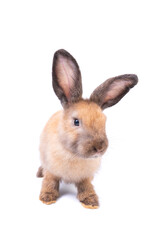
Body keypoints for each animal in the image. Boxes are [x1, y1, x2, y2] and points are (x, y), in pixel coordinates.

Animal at [37, 48, 138, 208]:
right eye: (76, 122)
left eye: (104, 121)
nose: (99, 148)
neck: (73, 154)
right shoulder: (51, 170)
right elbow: (49, 182)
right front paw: (47, 198)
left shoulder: (85, 177)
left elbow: (86, 186)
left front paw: (91, 201)